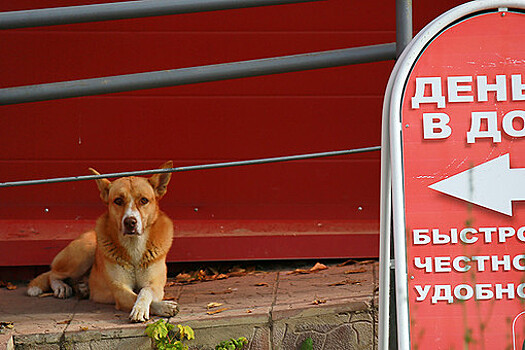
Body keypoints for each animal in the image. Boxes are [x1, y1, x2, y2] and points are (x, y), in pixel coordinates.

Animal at [26, 161, 178, 322]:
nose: (130, 222)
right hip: (83, 252)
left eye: (144, 200)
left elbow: (145, 292)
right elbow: (137, 297)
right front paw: (158, 307)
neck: (133, 246)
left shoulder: (155, 285)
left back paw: (83, 287)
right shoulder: (119, 289)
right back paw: (61, 287)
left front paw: (146, 307)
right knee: (53, 274)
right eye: (118, 200)